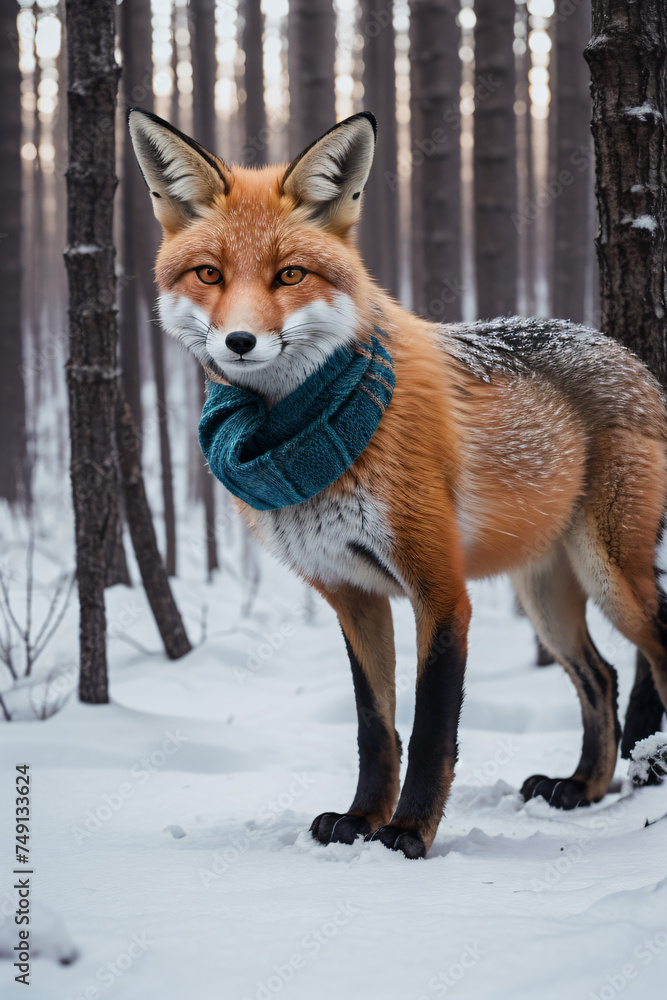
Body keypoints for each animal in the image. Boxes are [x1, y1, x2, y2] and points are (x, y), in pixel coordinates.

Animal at [128, 107, 667, 859]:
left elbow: (431, 727)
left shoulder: (439, 588)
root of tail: (628, 354)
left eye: (289, 274)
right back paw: (582, 787)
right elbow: (374, 726)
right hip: (543, 592)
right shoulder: (351, 593)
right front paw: (359, 822)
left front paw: (408, 833)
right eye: (209, 273)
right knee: (602, 676)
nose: (239, 342)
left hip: (609, 575)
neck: (307, 432)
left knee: (657, 648)